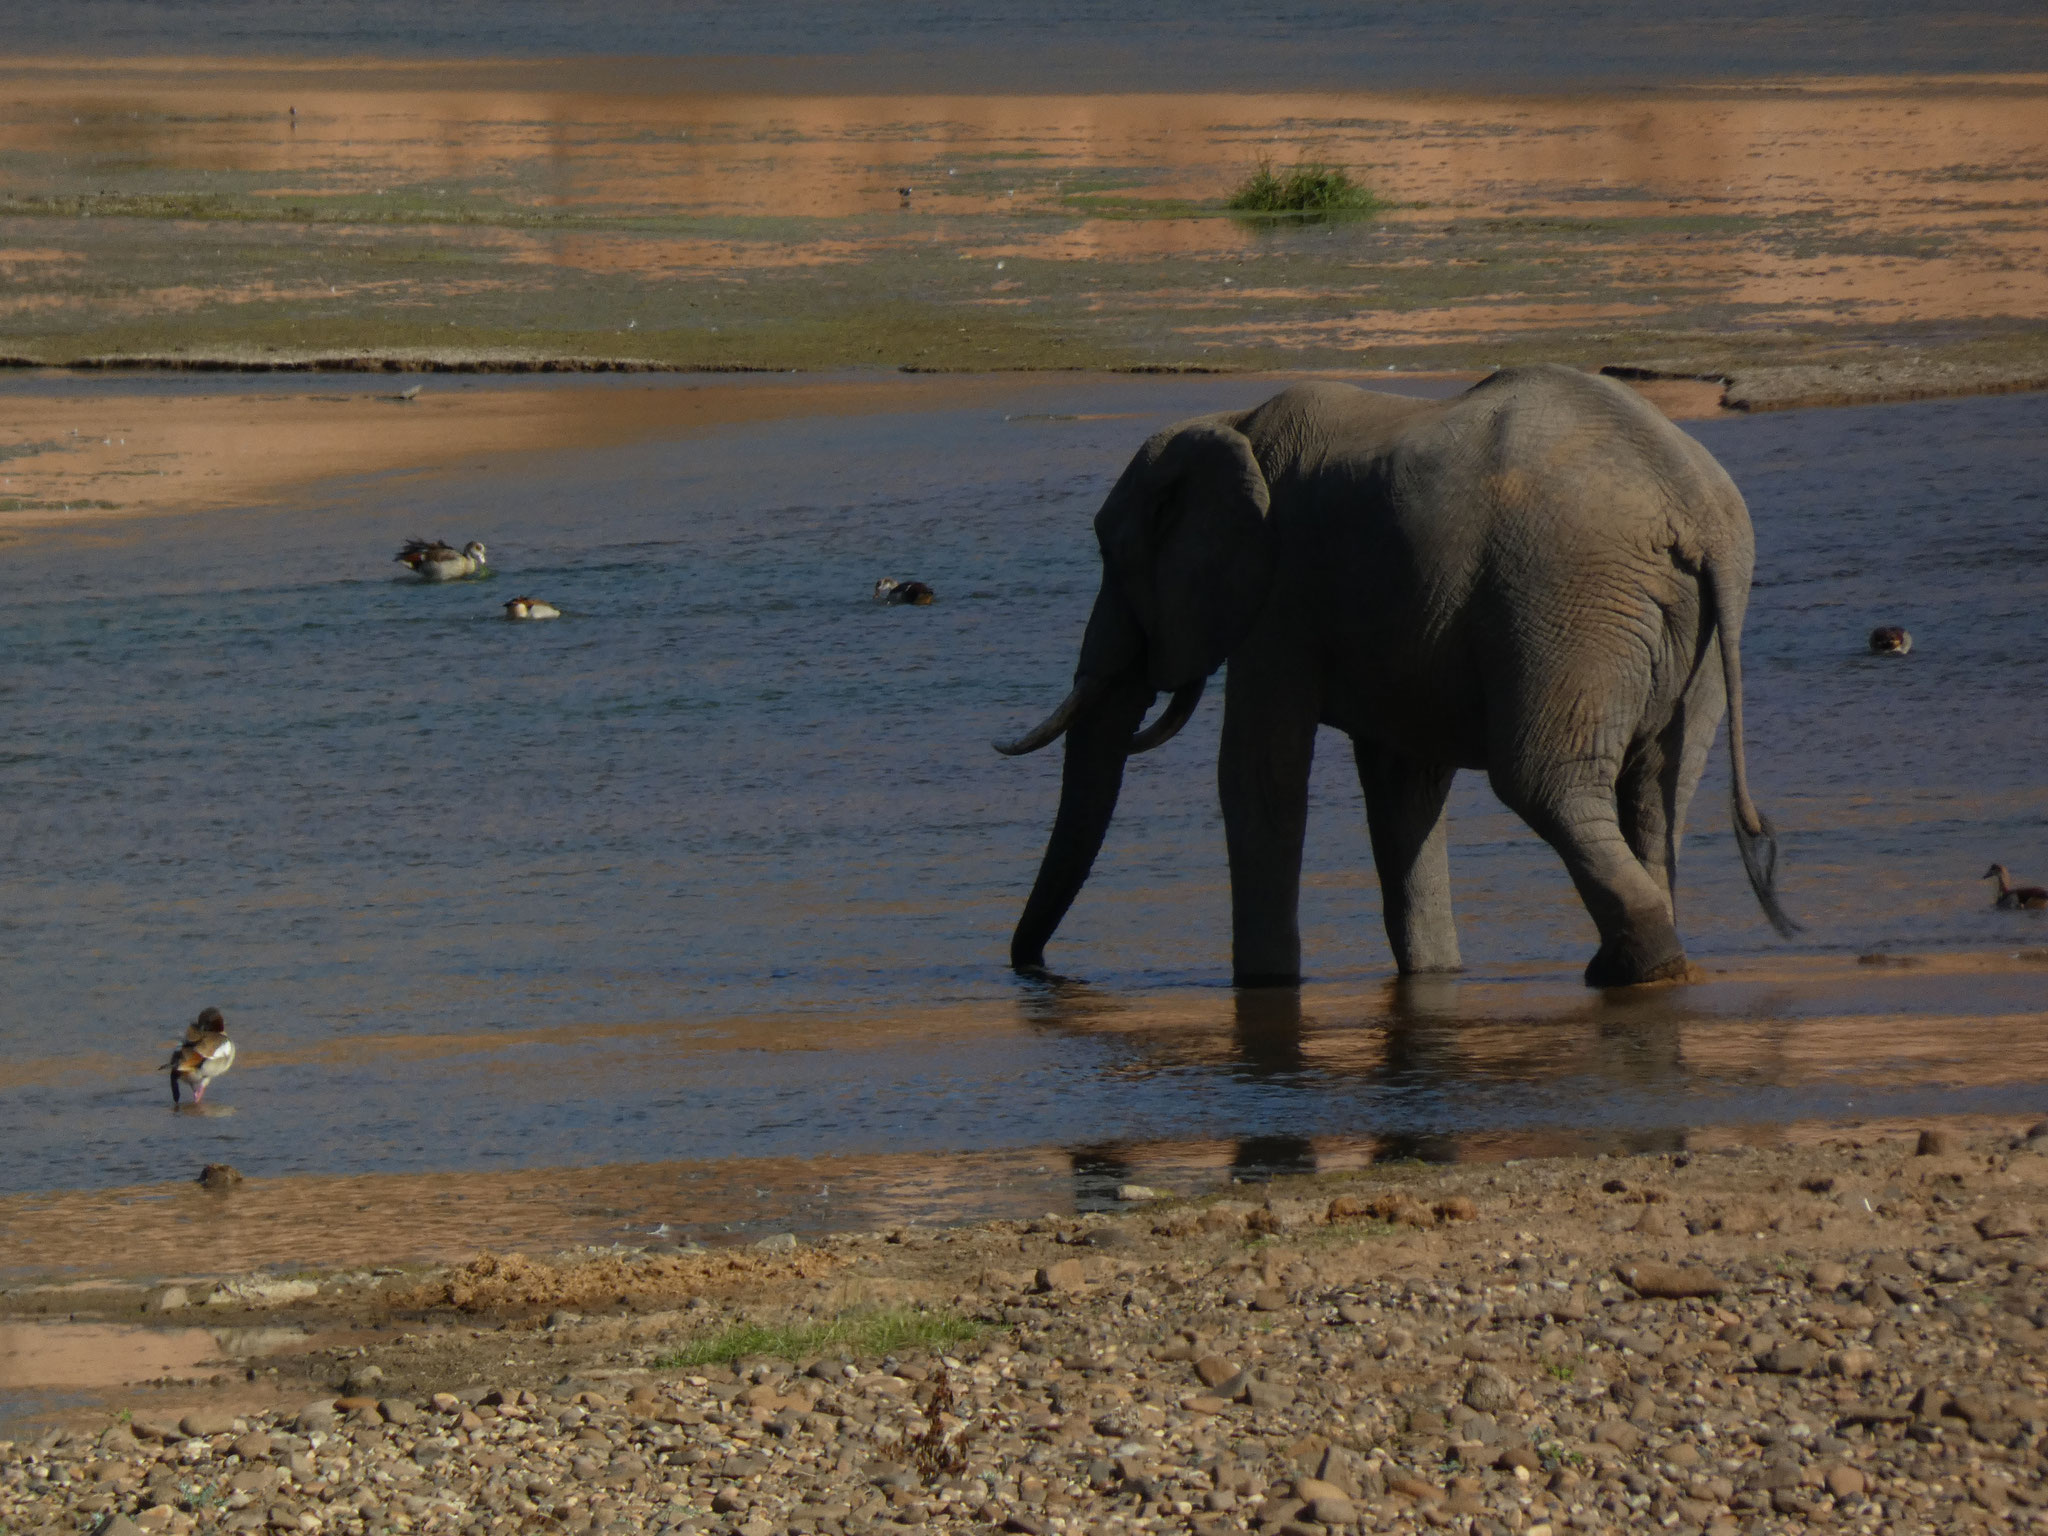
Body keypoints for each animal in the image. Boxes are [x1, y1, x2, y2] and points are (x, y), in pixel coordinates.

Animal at [991, 364, 1794, 987]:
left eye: (1111, 555)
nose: (1031, 969)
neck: (1231, 423)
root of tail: (1692, 505)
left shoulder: (1283, 591)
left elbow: (1258, 775)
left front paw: (1265, 986)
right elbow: (1404, 788)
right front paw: (1436, 976)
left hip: (1568, 597)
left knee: (1544, 783)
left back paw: (1637, 969)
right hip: (1686, 626)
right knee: (1660, 791)